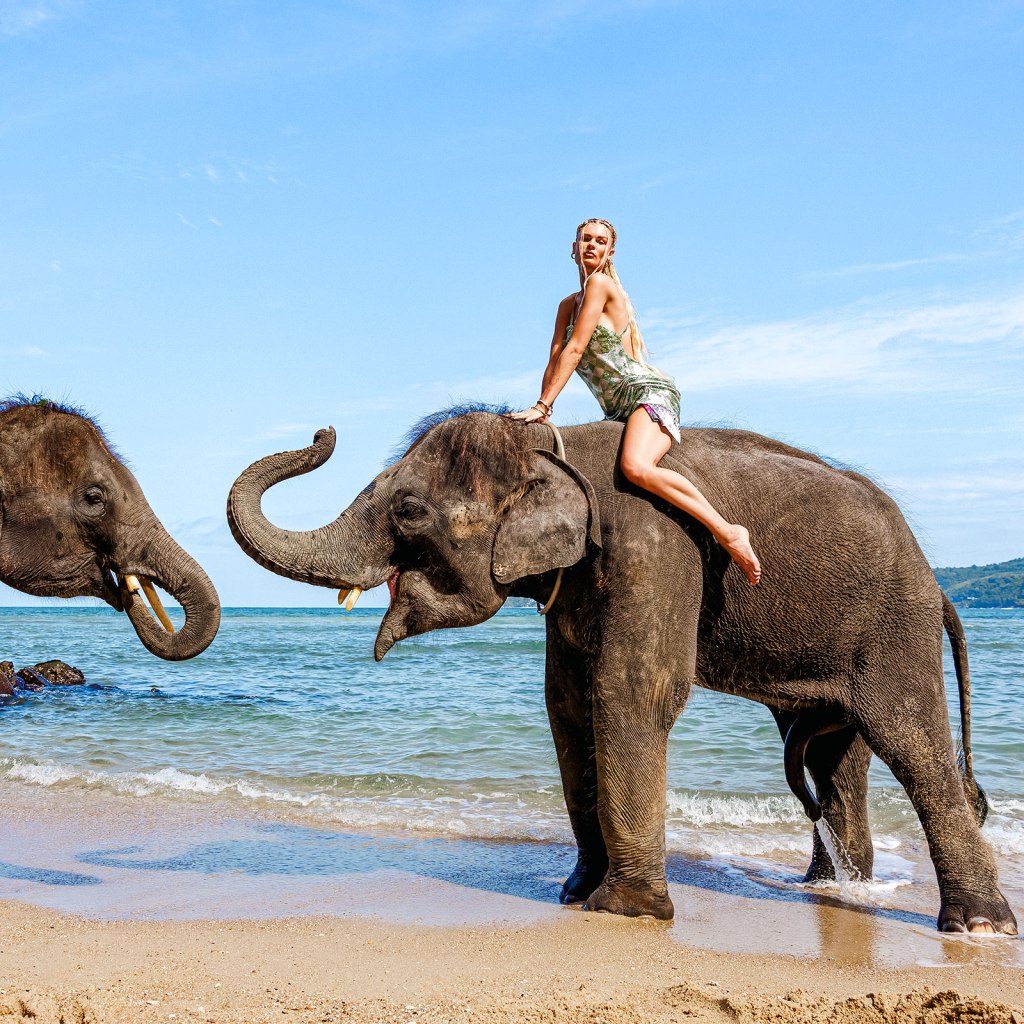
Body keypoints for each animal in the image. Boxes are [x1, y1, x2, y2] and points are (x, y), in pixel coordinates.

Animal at [227, 407, 1016, 934]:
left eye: (411, 510)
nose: (323, 431)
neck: (555, 447)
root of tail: (937, 579)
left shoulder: (655, 548)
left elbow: (630, 695)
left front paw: (624, 911)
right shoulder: (576, 585)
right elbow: (567, 706)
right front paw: (575, 893)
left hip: (895, 627)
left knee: (913, 746)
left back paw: (979, 925)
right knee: (835, 760)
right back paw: (829, 889)